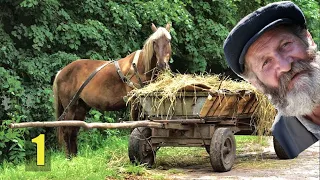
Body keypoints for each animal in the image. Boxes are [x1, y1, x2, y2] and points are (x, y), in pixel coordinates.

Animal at [52, 23, 172, 158]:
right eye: (154, 41)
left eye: (168, 40)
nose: (162, 65)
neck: (139, 67)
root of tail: (61, 72)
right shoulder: (134, 102)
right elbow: (135, 124)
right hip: (70, 107)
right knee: (67, 131)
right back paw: (69, 158)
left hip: (81, 107)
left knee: (74, 131)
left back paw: (74, 157)